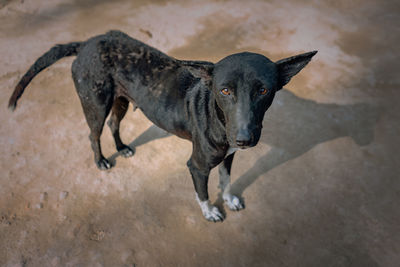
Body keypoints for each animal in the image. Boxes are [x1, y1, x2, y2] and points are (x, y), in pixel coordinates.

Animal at [7, 30, 318, 223]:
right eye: (225, 90)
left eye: (264, 90)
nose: (243, 139)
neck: (217, 115)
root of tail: (86, 43)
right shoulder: (197, 166)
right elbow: (203, 192)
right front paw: (210, 212)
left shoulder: (229, 156)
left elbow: (226, 180)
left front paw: (229, 199)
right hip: (95, 104)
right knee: (93, 133)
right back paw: (102, 160)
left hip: (121, 101)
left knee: (113, 123)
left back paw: (122, 147)